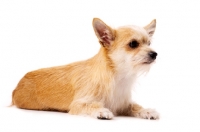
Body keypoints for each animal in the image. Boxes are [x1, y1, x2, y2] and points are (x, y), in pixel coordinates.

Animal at [12, 18, 159, 120]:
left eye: (149, 43)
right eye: (133, 44)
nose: (154, 54)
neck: (117, 76)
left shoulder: (123, 104)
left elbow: (135, 106)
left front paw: (146, 110)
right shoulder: (78, 104)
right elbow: (91, 105)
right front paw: (101, 111)